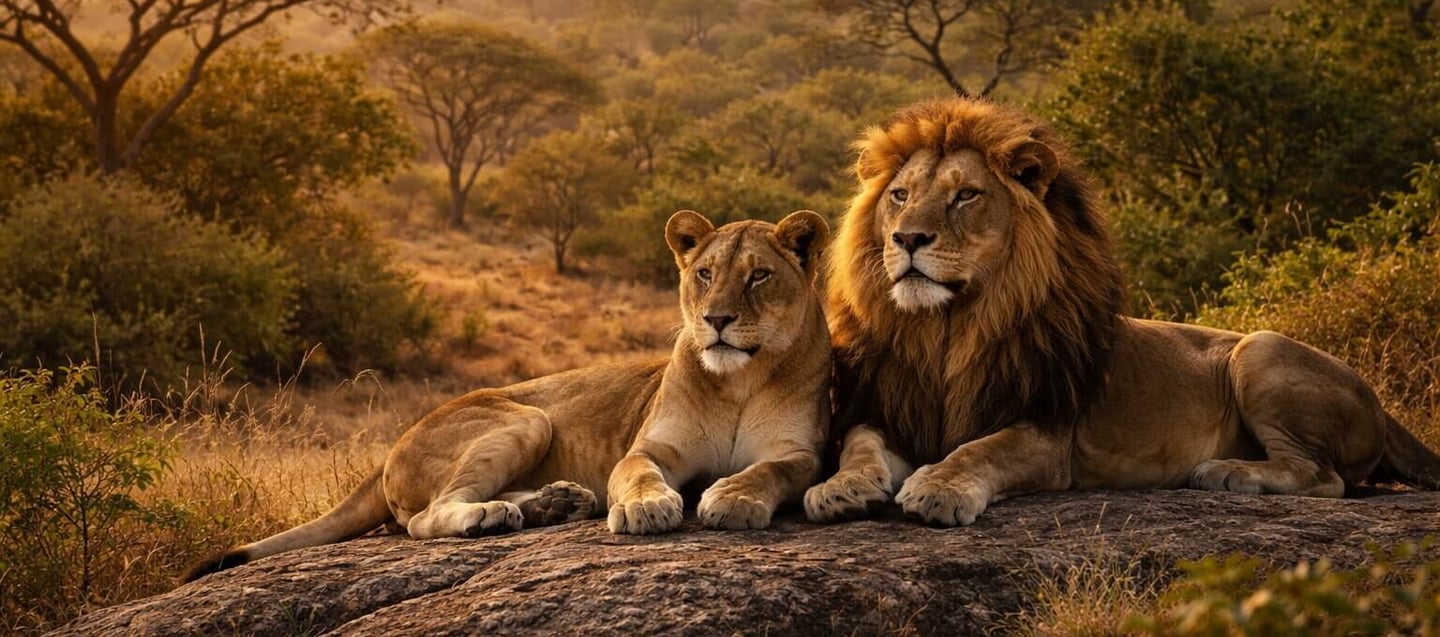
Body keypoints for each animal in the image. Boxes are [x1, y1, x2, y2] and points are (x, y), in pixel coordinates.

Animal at [184, 209, 832, 581]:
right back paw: (495, 516)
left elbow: (768, 470)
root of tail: (391, 448)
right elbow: (638, 475)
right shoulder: (650, 450)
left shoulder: (800, 454)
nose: (716, 319)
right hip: (525, 418)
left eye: (758, 276)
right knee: (428, 518)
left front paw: (734, 498)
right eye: (704, 274)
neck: (737, 379)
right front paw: (646, 508)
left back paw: (554, 504)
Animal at [803, 98, 1440, 527]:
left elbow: (977, 449)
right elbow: (859, 444)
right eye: (900, 196)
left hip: (1259, 348)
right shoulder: (890, 407)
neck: (948, 329)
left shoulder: (1048, 433)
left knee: (1326, 477)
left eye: (966, 195)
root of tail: (1384, 409)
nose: (908, 238)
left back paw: (1228, 472)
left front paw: (938, 488)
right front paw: (841, 488)